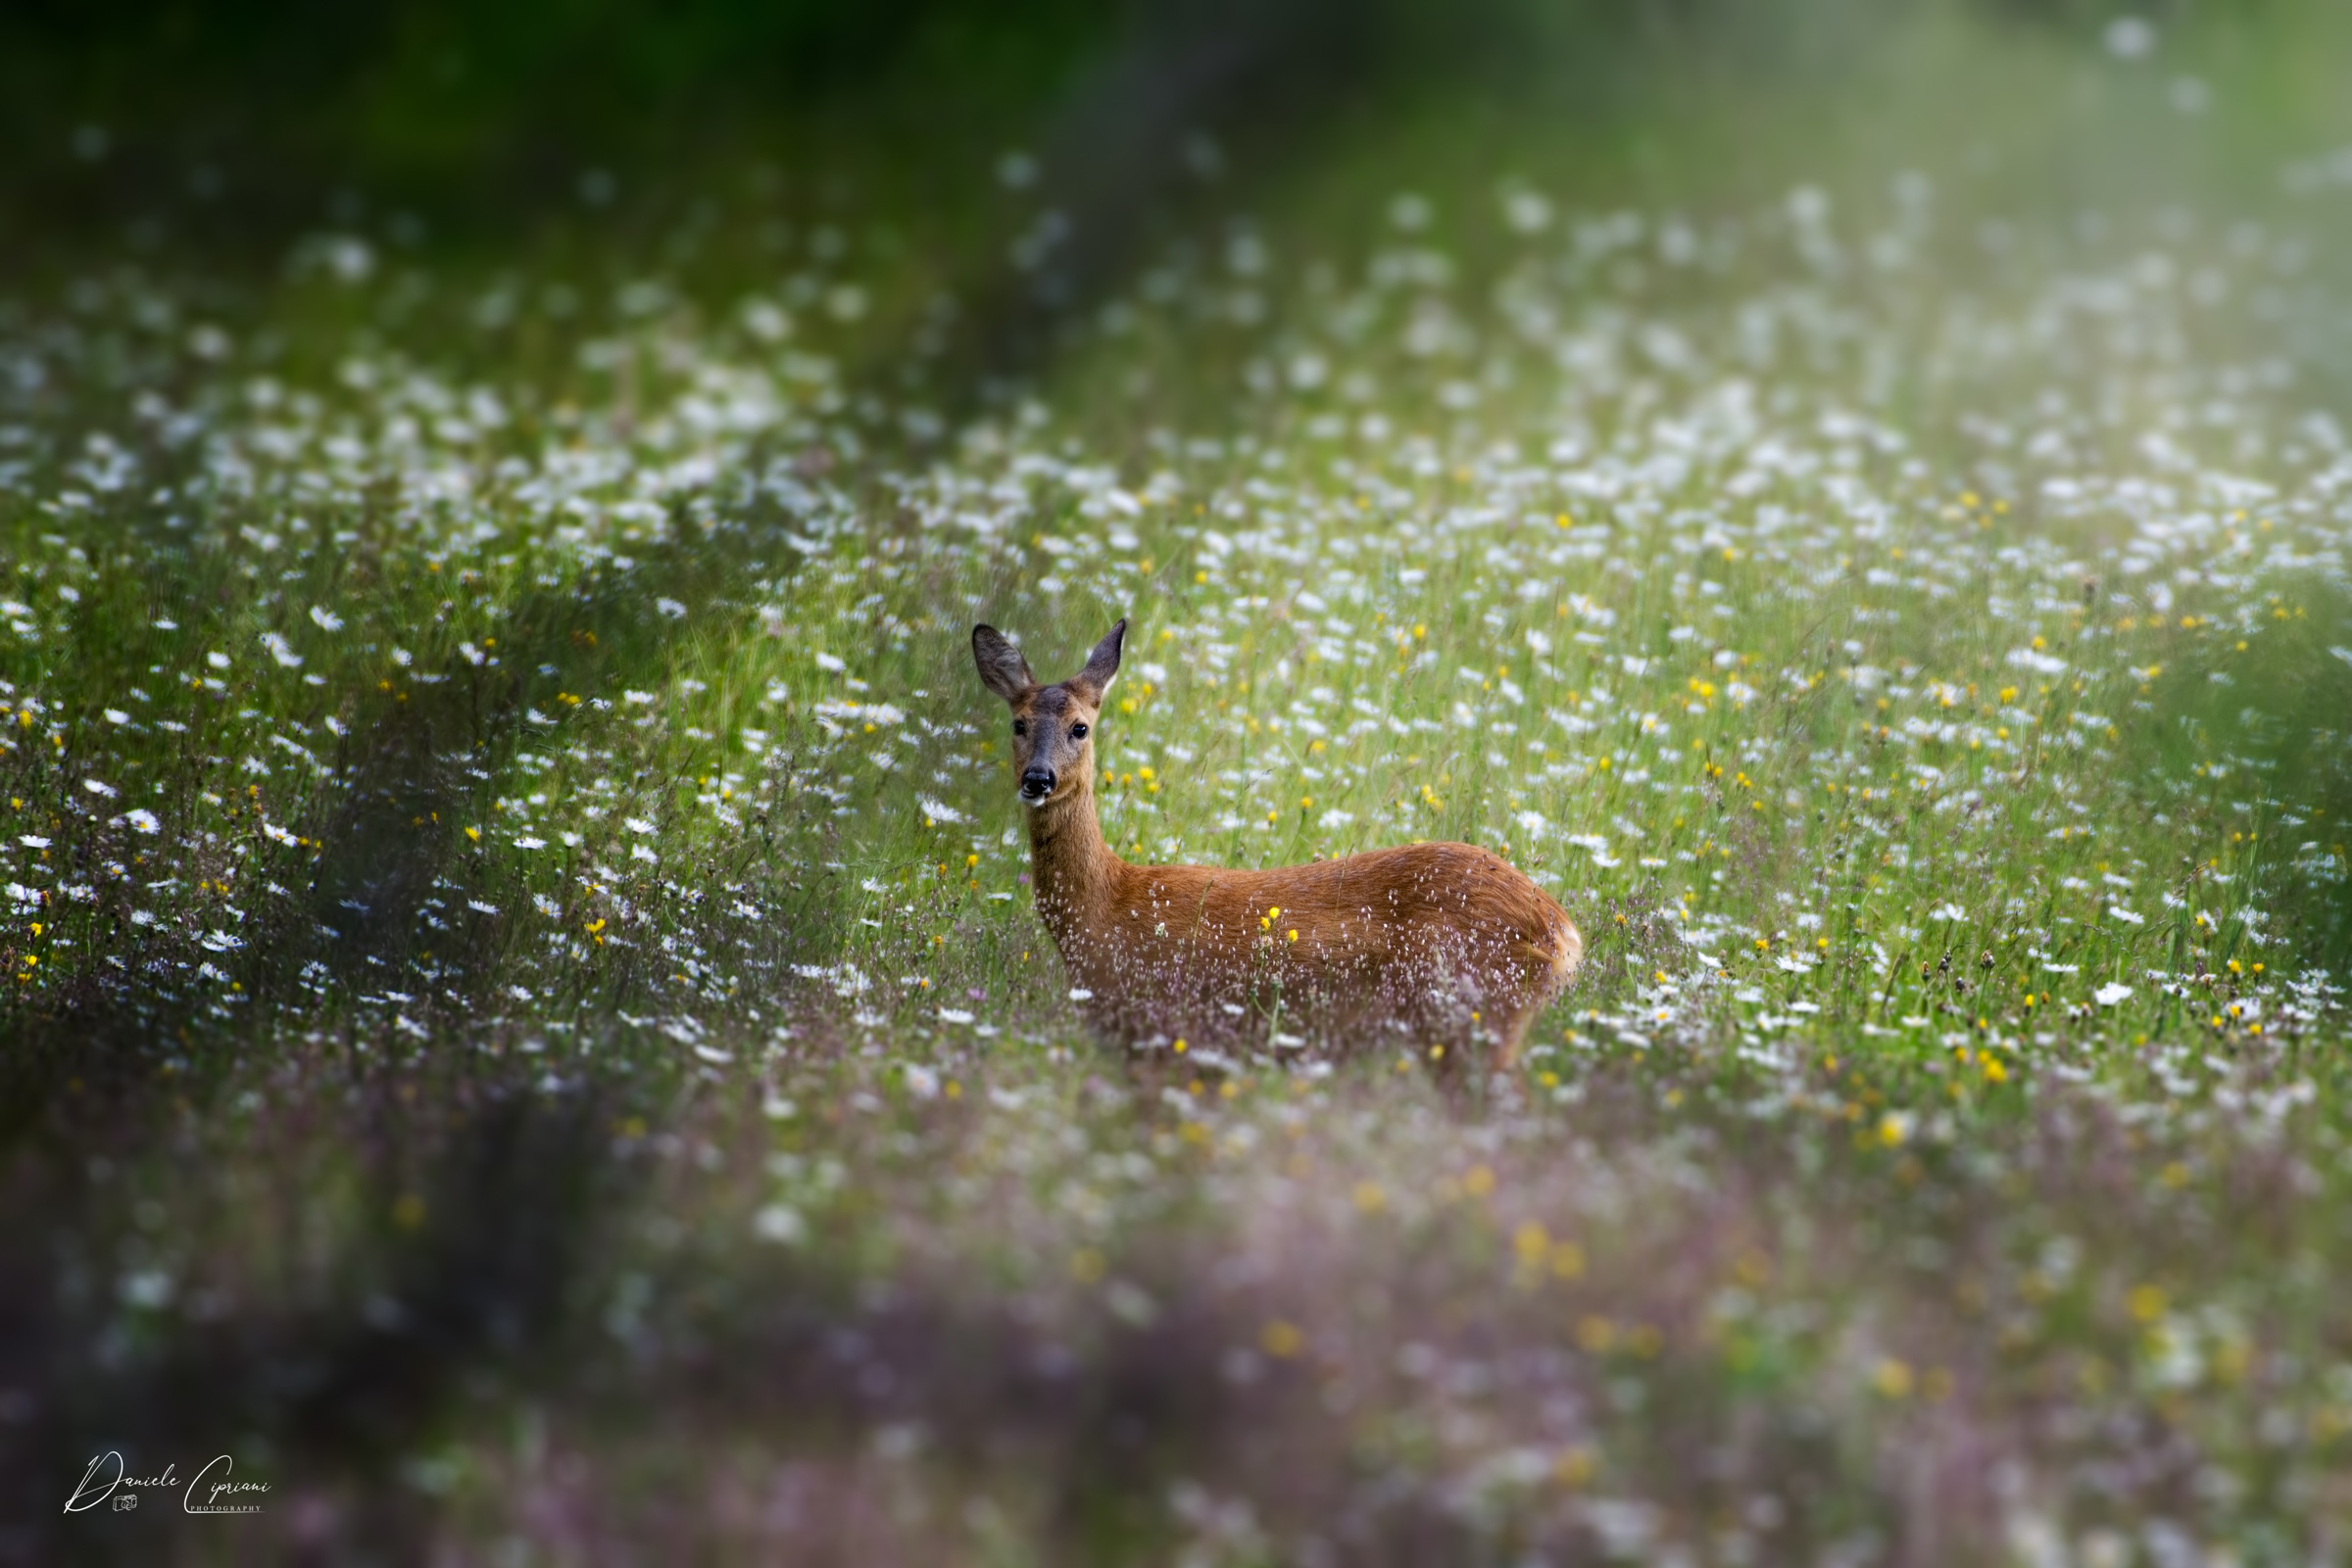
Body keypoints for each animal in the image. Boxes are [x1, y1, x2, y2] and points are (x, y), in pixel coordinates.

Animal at [972, 617, 1583, 1066]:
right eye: (1018, 723)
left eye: (1080, 727)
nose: (1038, 779)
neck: (1107, 907)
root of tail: (1562, 931)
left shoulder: (1169, 1031)